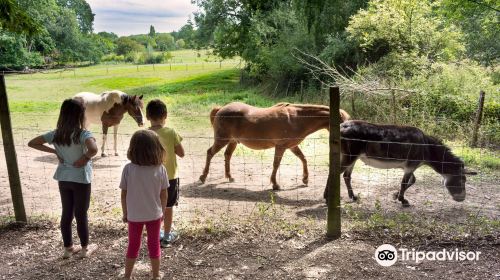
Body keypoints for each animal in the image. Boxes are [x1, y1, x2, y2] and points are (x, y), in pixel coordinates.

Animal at [197, 101, 350, 189]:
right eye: (343, 123)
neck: (296, 118)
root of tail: (221, 109)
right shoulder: (281, 147)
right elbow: (276, 164)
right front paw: (275, 184)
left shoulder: (291, 146)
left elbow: (303, 159)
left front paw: (305, 179)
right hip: (222, 140)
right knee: (210, 153)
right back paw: (203, 177)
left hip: (233, 142)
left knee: (227, 155)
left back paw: (229, 177)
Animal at [326, 120, 478, 206]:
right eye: (462, 180)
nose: (462, 199)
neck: (427, 147)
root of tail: (341, 125)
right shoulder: (411, 166)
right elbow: (405, 183)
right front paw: (403, 200)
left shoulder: (409, 167)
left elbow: (412, 181)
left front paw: (396, 195)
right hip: (350, 156)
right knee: (335, 173)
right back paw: (327, 199)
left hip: (352, 158)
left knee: (346, 176)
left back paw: (353, 197)